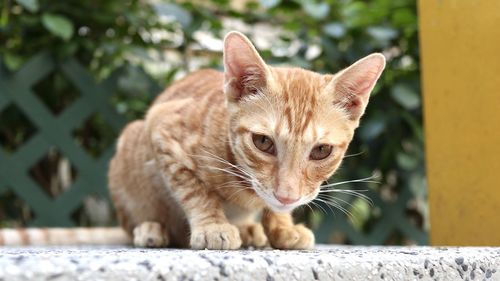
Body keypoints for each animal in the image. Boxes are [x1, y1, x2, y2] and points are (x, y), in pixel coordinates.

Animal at [0, 31, 384, 247]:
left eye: (321, 151)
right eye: (263, 143)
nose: (286, 195)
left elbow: (270, 212)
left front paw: (281, 227)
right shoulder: (162, 130)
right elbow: (195, 190)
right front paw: (213, 226)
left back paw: (252, 231)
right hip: (130, 148)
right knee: (135, 222)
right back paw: (152, 229)